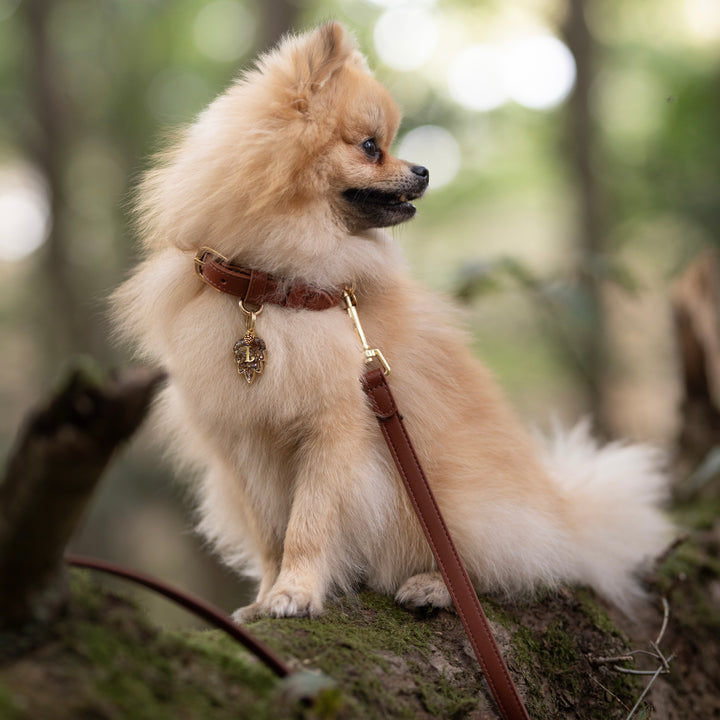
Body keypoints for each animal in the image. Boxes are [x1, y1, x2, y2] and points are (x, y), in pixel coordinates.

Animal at [112, 22, 668, 620]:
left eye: (386, 143)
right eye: (371, 147)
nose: (424, 169)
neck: (269, 291)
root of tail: (564, 511)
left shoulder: (333, 425)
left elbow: (307, 524)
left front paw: (295, 591)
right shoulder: (242, 443)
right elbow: (270, 534)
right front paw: (264, 598)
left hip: (456, 499)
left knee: (505, 565)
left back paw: (436, 584)